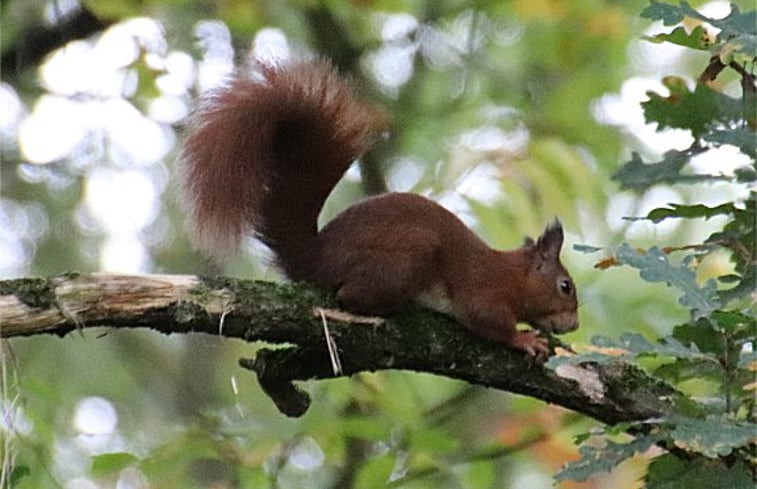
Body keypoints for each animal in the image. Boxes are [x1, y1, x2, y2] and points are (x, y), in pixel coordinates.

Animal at [179, 60, 580, 358]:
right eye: (565, 287)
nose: (575, 325)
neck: (512, 275)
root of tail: (316, 260)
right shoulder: (484, 291)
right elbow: (489, 323)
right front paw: (524, 339)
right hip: (407, 257)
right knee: (349, 296)